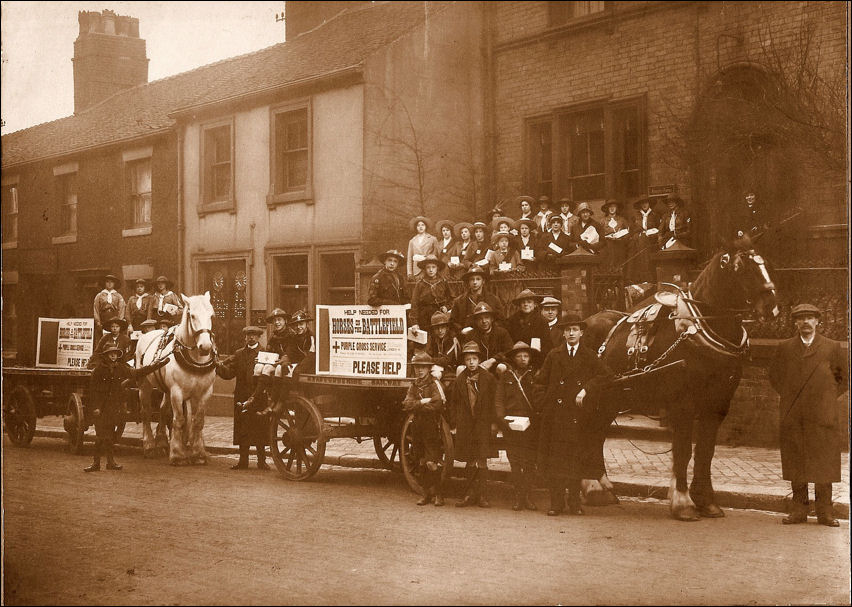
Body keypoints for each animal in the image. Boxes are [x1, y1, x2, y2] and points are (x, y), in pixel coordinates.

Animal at [136, 292, 216, 464]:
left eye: (211, 315)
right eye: (192, 316)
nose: (206, 347)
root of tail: (147, 334)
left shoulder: (204, 393)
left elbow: (197, 421)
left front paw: (198, 453)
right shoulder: (177, 392)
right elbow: (179, 420)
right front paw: (178, 455)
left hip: (166, 390)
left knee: (162, 410)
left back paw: (161, 442)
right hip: (144, 384)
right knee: (146, 412)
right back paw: (149, 445)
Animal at [584, 235, 776, 520]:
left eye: (764, 262)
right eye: (741, 267)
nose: (771, 304)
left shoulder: (717, 404)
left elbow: (705, 451)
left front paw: (706, 501)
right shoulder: (683, 403)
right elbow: (684, 450)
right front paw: (683, 502)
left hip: (612, 398)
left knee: (596, 435)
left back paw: (602, 487)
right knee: (589, 432)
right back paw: (591, 486)